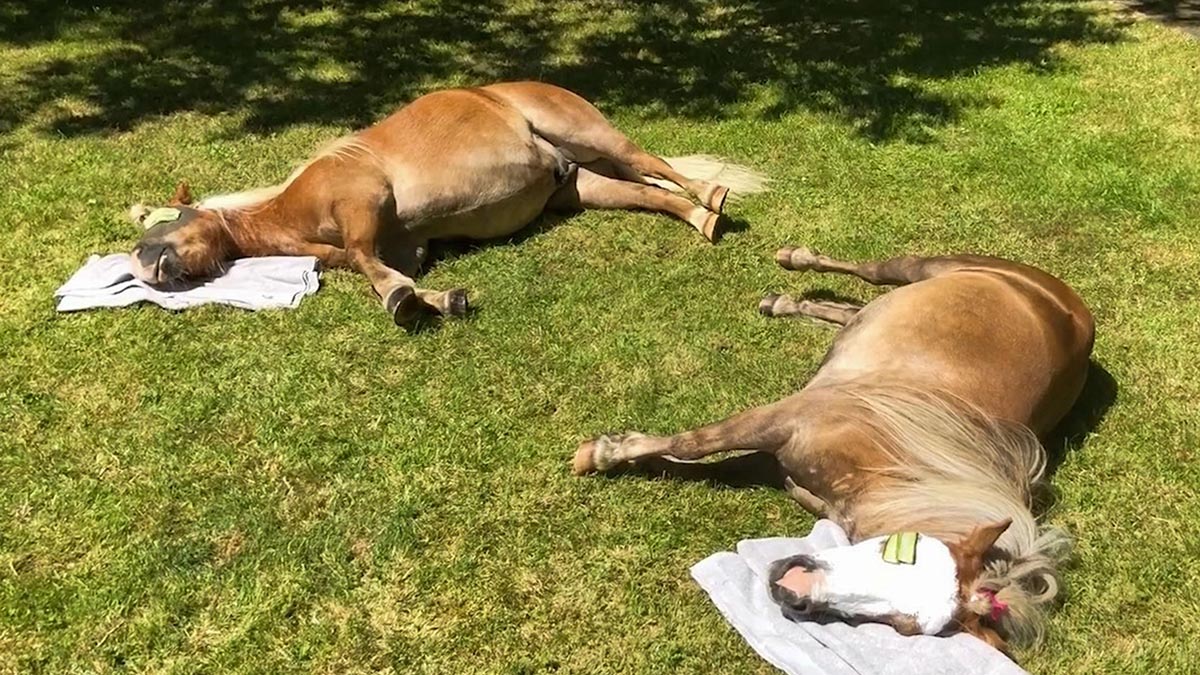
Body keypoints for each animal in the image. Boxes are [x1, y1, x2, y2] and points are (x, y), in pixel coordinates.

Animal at [126, 79, 763, 326]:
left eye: (167, 218)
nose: (149, 268)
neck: (295, 203)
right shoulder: (401, 246)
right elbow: (382, 267)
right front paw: (436, 299)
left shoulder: (364, 202)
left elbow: (368, 263)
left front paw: (405, 302)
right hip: (581, 186)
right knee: (646, 192)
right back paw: (703, 219)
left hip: (592, 135)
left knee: (656, 163)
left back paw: (714, 197)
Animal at [571, 248, 1099, 653]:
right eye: (901, 552)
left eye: (902, 626)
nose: (794, 593)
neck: (883, 465)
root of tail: (1069, 303)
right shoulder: (778, 420)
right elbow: (696, 444)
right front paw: (600, 453)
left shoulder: (779, 462)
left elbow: (695, 459)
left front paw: (628, 454)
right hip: (928, 267)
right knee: (871, 272)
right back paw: (793, 263)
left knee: (851, 313)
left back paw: (783, 303)